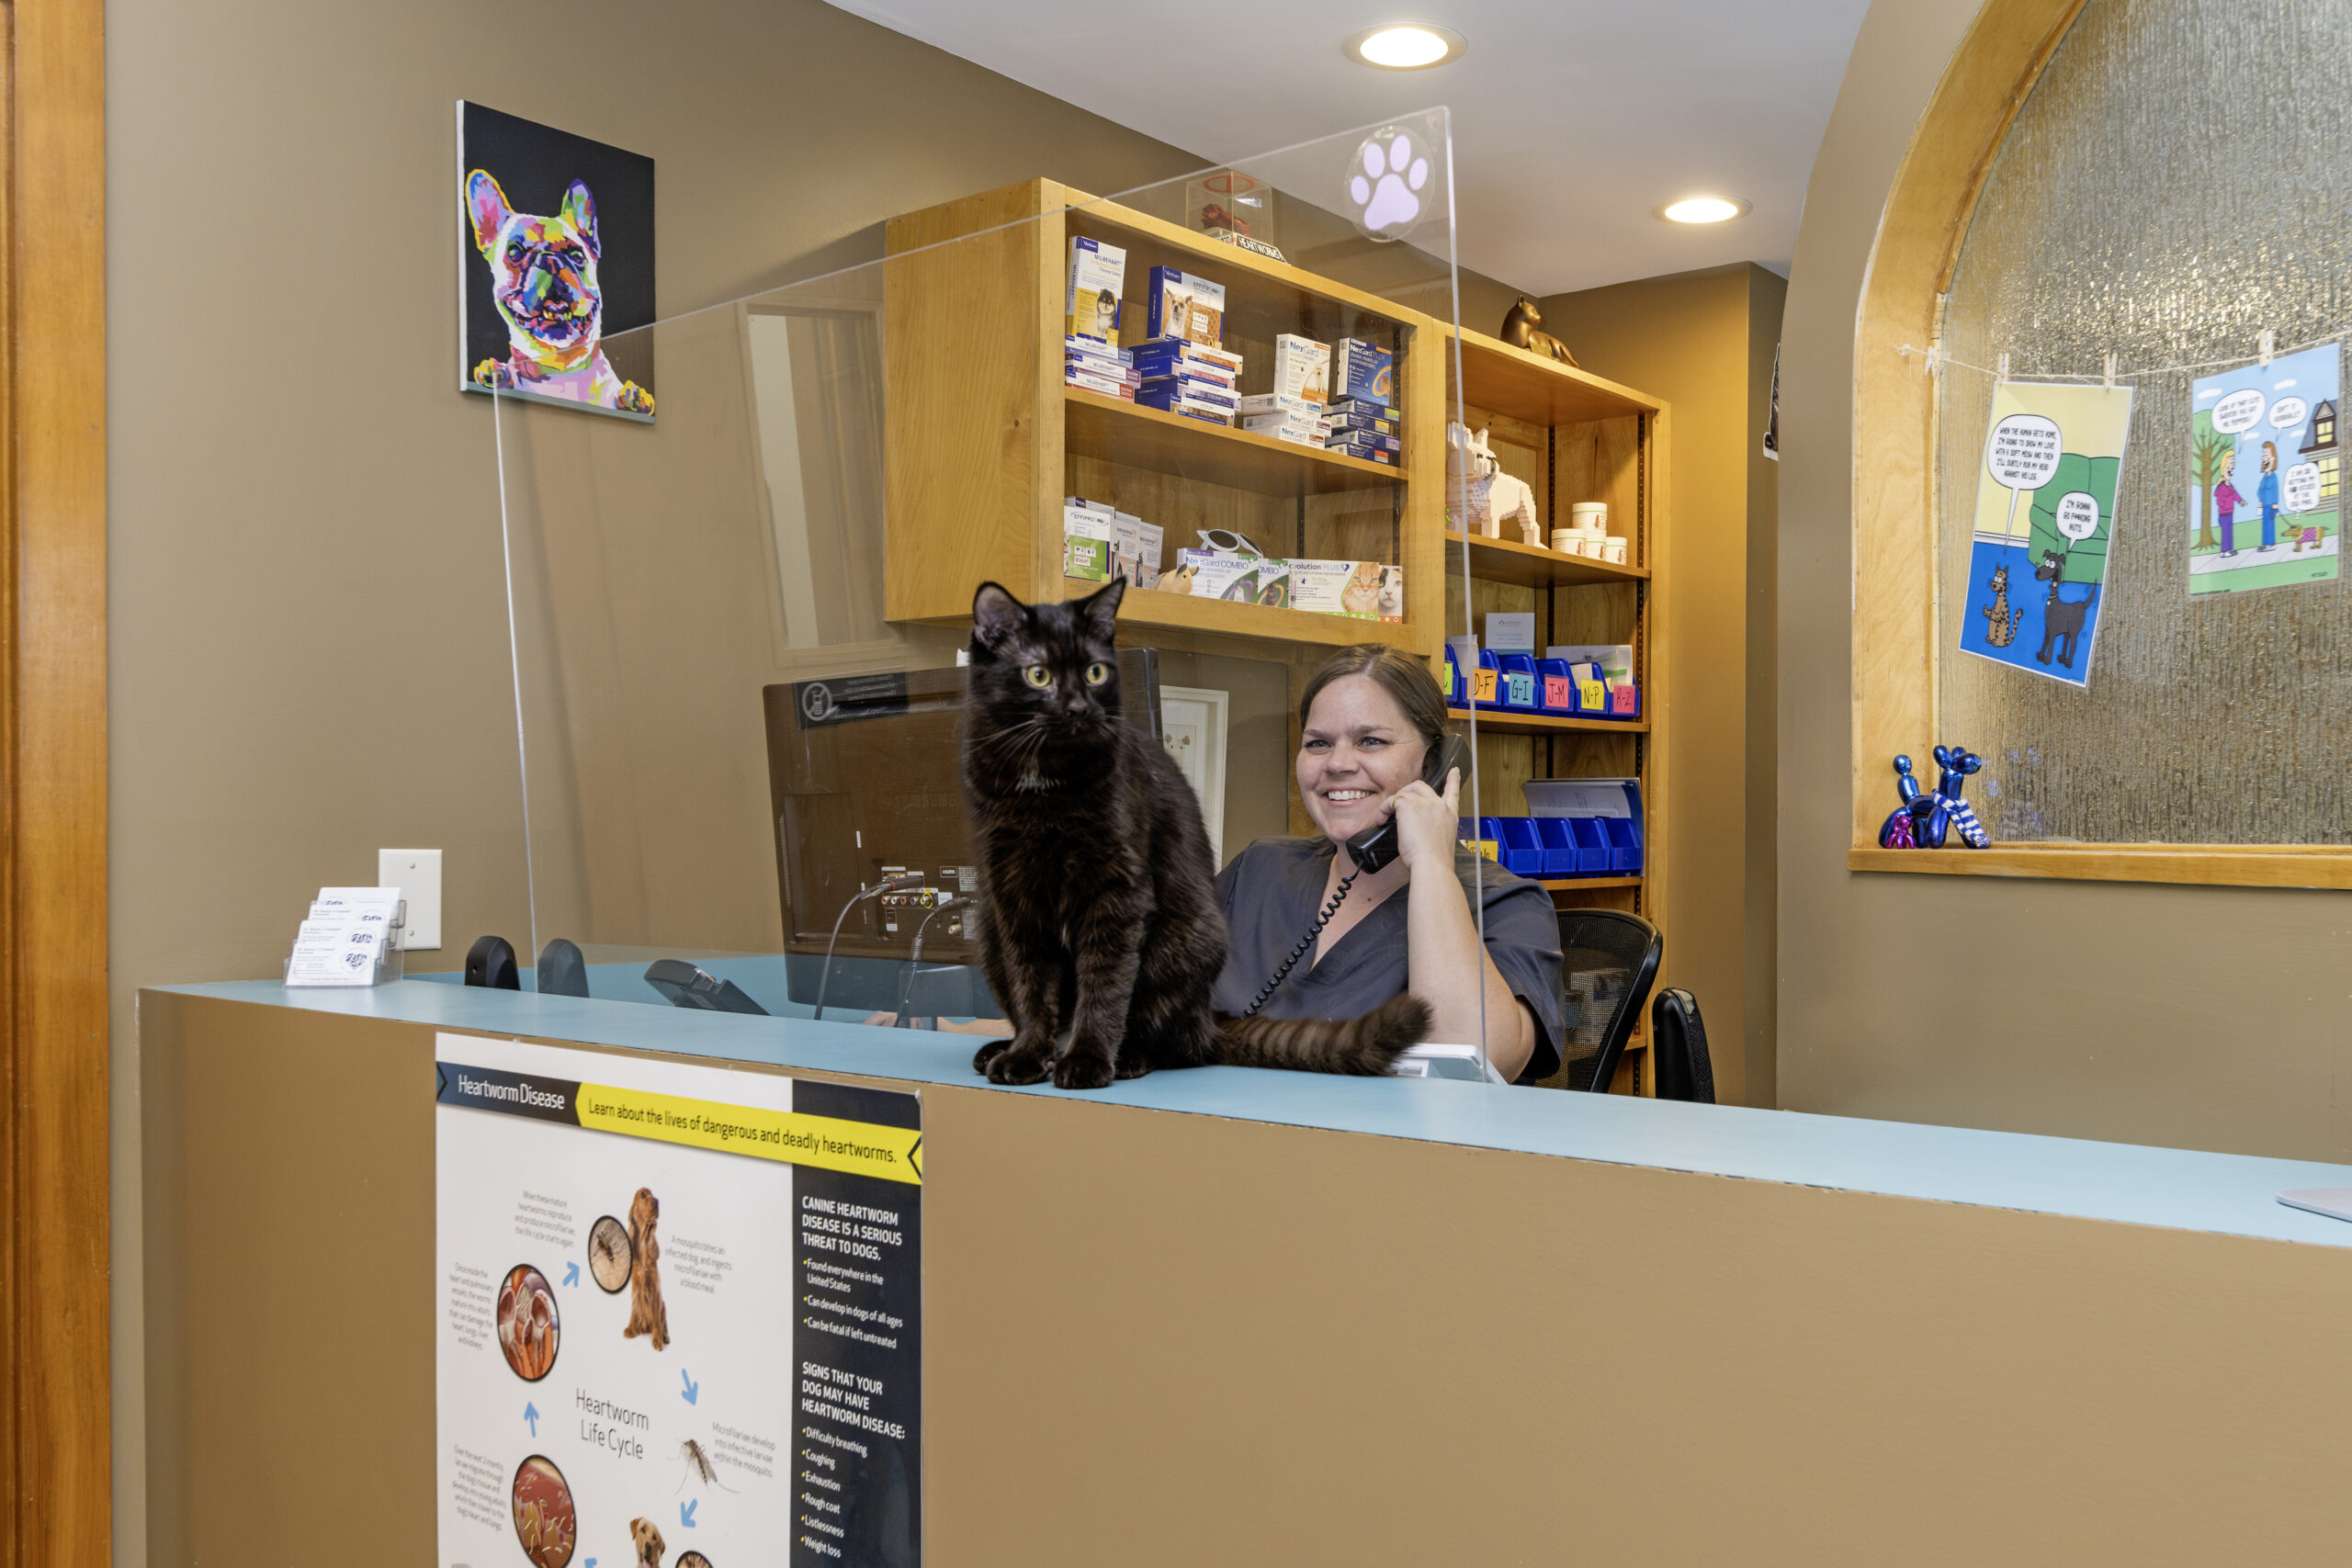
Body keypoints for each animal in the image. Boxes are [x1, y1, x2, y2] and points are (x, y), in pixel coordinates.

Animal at [912, 581, 1561, 1090]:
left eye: (1095, 671)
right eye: (1039, 674)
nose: (1077, 708)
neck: (1043, 780)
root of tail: (1210, 1017)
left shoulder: (1117, 894)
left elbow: (1104, 985)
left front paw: (1088, 1061)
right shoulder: (1013, 894)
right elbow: (1032, 988)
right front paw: (1026, 1054)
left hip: (1183, 939)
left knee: (1174, 1042)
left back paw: (1125, 1057)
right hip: (989, 929)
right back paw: (1010, 1049)